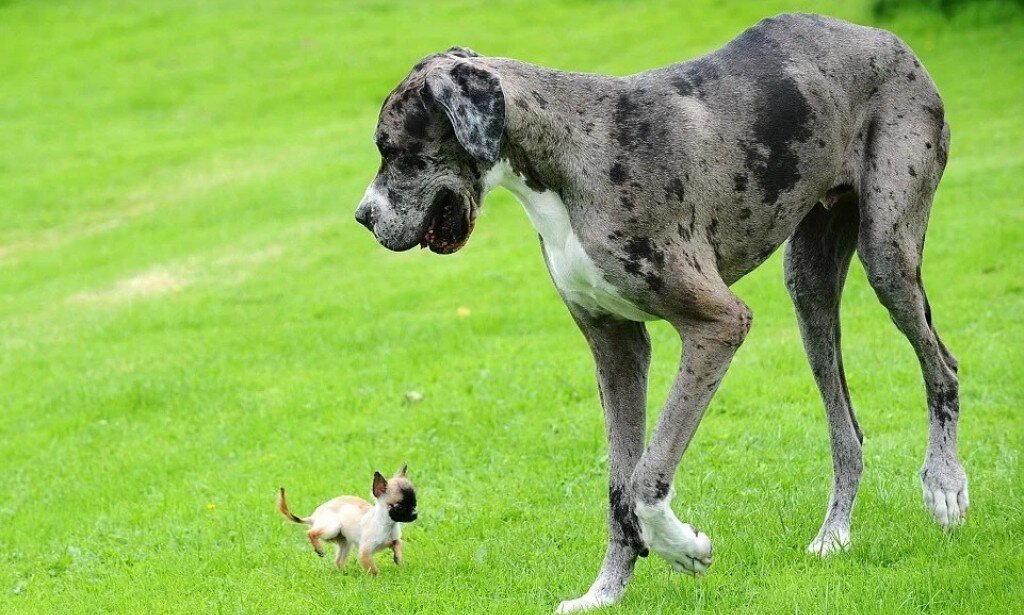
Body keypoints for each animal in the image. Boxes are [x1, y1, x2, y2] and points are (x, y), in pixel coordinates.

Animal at [278, 462, 417, 573]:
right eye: (399, 507)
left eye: (415, 504)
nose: (415, 514)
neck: (387, 524)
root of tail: (314, 517)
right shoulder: (364, 554)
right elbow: (374, 570)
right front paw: (378, 580)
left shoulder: (393, 540)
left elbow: (398, 543)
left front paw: (398, 558)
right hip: (333, 527)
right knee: (311, 532)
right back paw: (319, 548)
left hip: (345, 543)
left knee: (338, 561)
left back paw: (344, 573)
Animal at [354, 13, 966, 609]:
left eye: (393, 149)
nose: (362, 217)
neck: (564, 158)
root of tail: (886, 39)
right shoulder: (615, 345)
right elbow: (619, 486)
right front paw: (604, 592)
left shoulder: (719, 323)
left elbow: (648, 477)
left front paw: (682, 547)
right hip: (809, 289)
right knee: (848, 432)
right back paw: (834, 535)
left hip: (887, 255)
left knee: (942, 365)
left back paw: (945, 484)